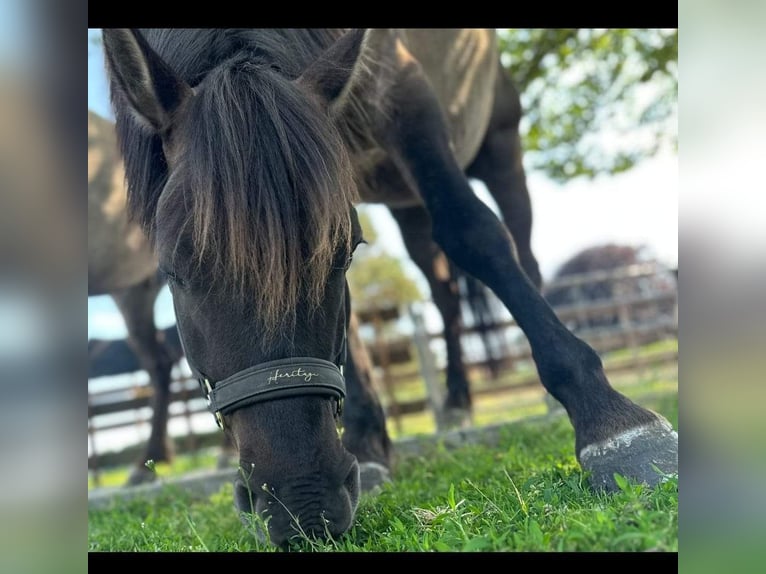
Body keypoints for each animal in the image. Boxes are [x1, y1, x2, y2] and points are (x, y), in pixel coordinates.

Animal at [100, 28, 680, 548]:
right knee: (444, 295)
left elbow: (472, 230)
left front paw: (613, 424)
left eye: (345, 252)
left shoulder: (405, 92)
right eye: (172, 268)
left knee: (522, 256)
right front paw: (370, 443)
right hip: (404, 203)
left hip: (500, 145)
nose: (302, 503)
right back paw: (456, 402)